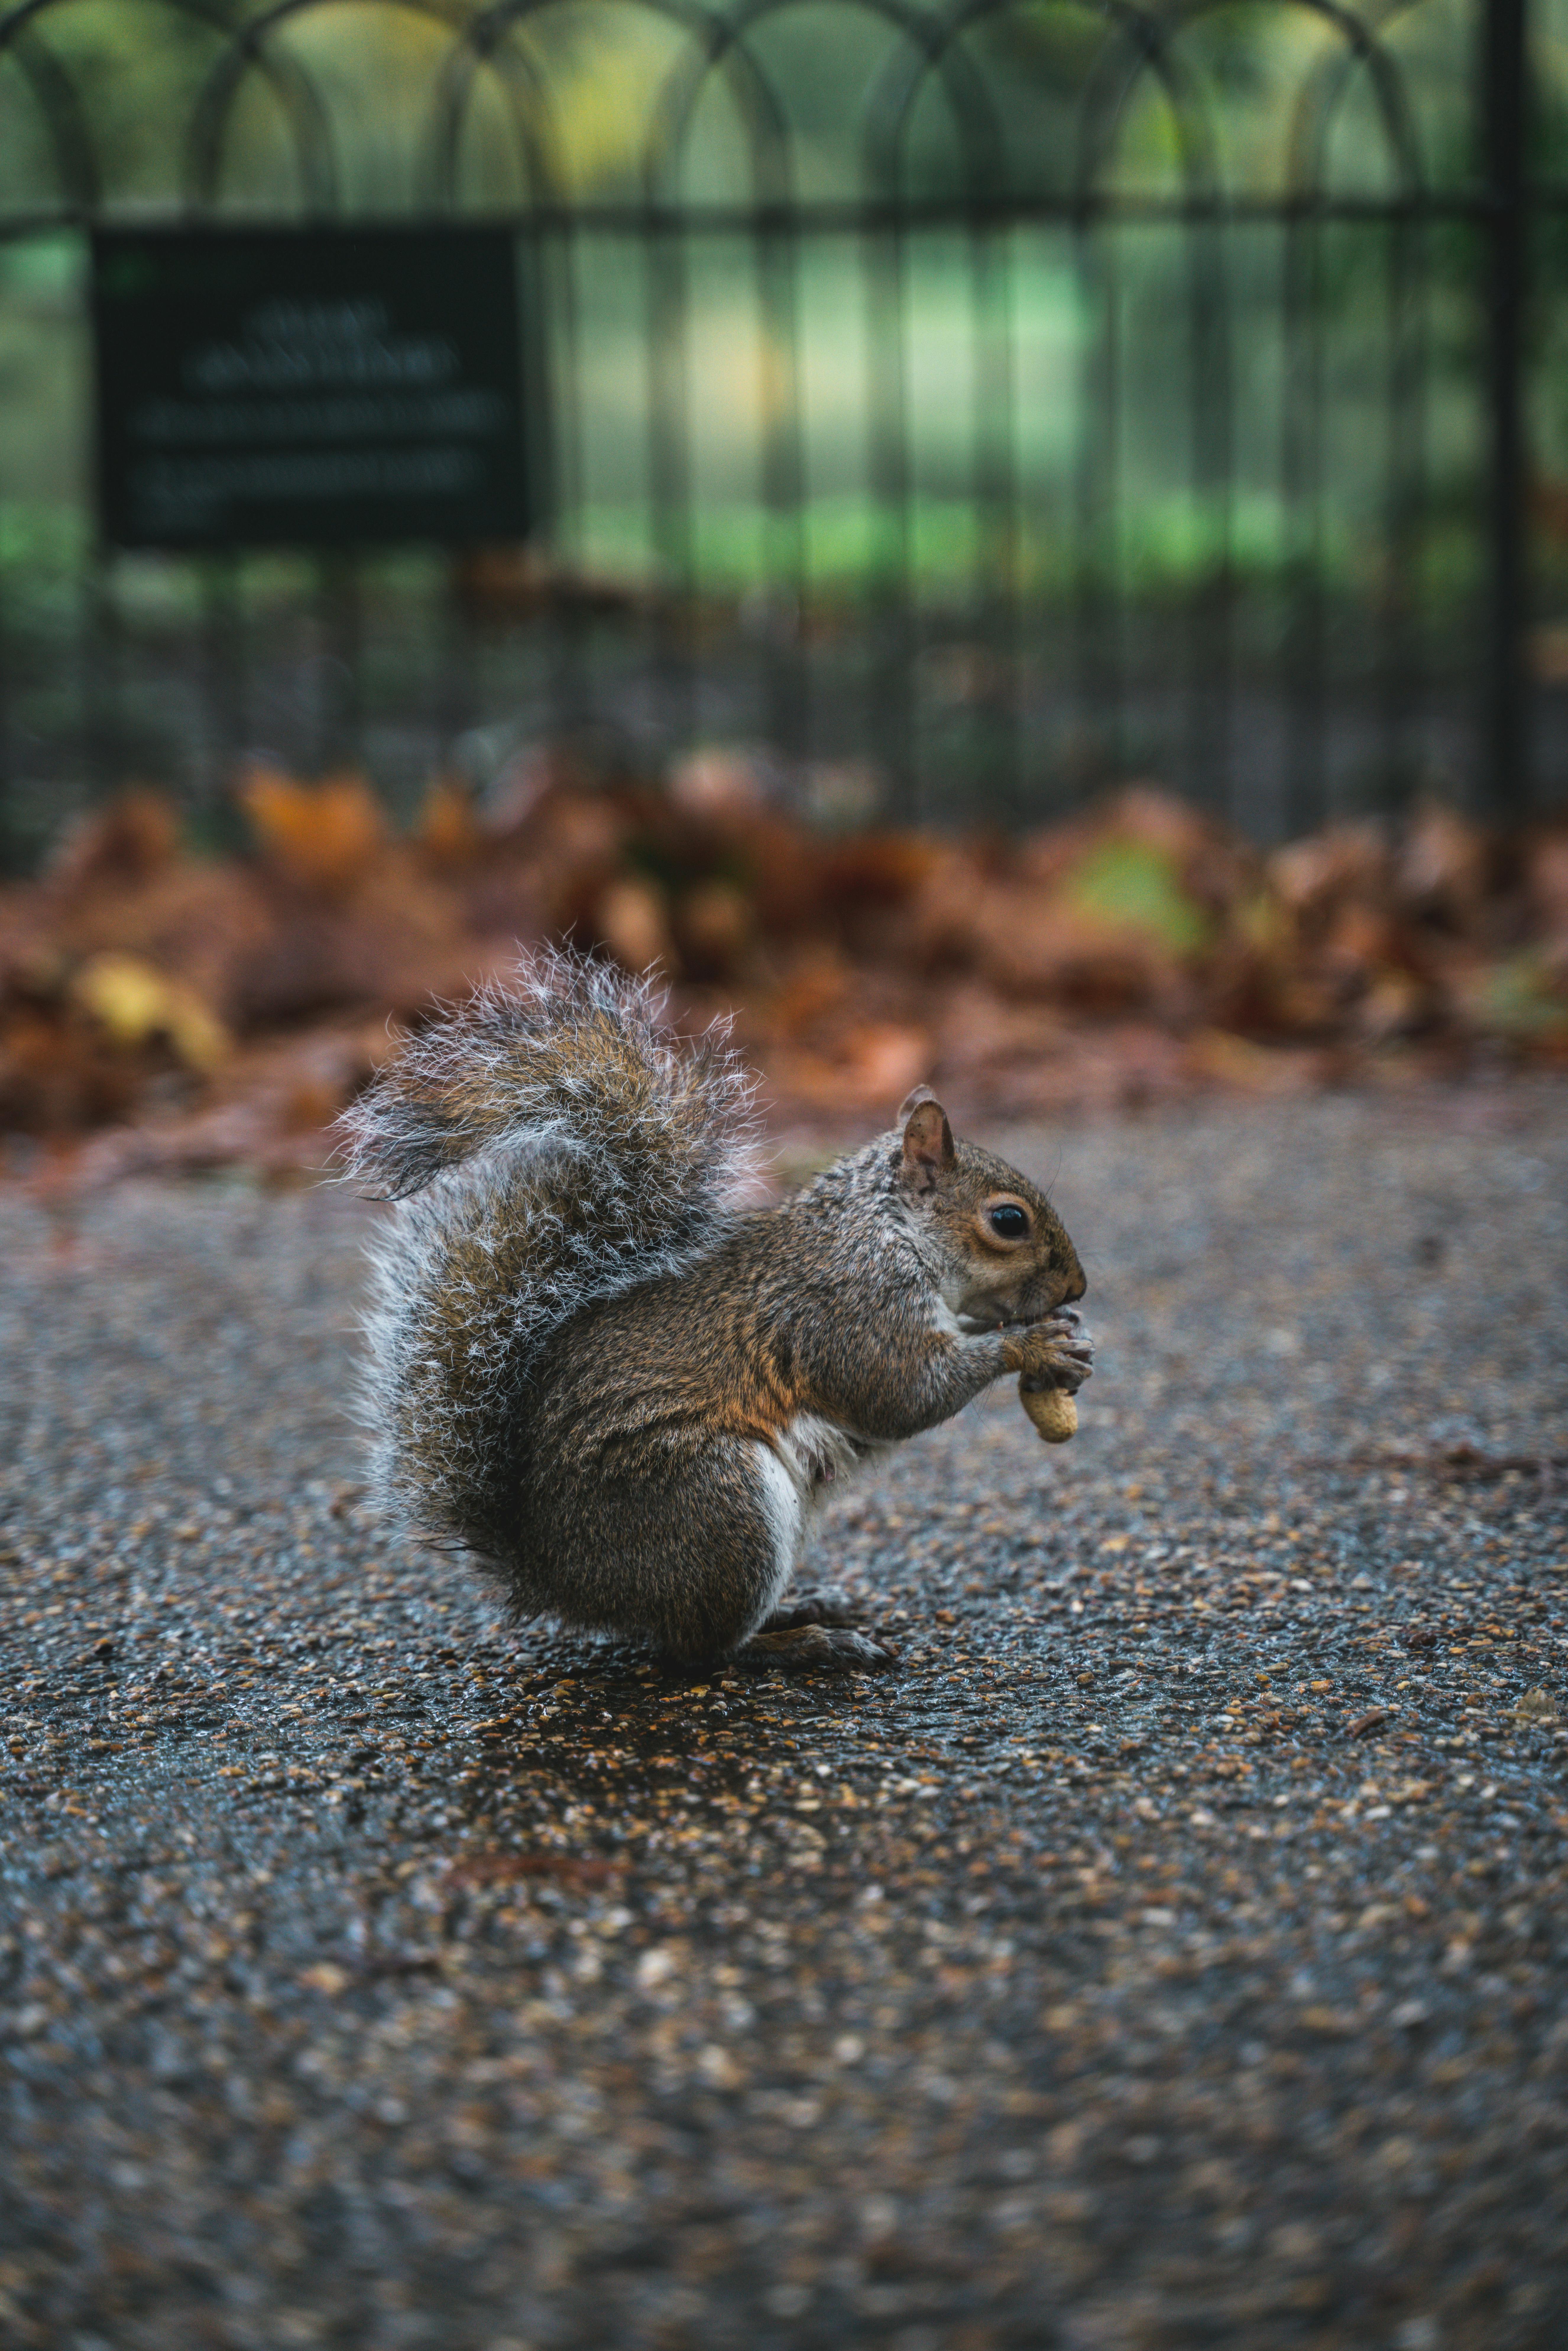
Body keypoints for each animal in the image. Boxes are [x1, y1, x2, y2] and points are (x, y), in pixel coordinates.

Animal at [339, 948, 1092, 1671]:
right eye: (1008, 1220)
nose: (1078, 1289)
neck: (887, 1231)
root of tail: (558, 1580)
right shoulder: (846, 1308)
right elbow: (899, 1392)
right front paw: (1031, 1345)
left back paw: (801, 1608)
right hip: (717, 1504)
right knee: (698, 1651)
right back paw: (800, 1645)